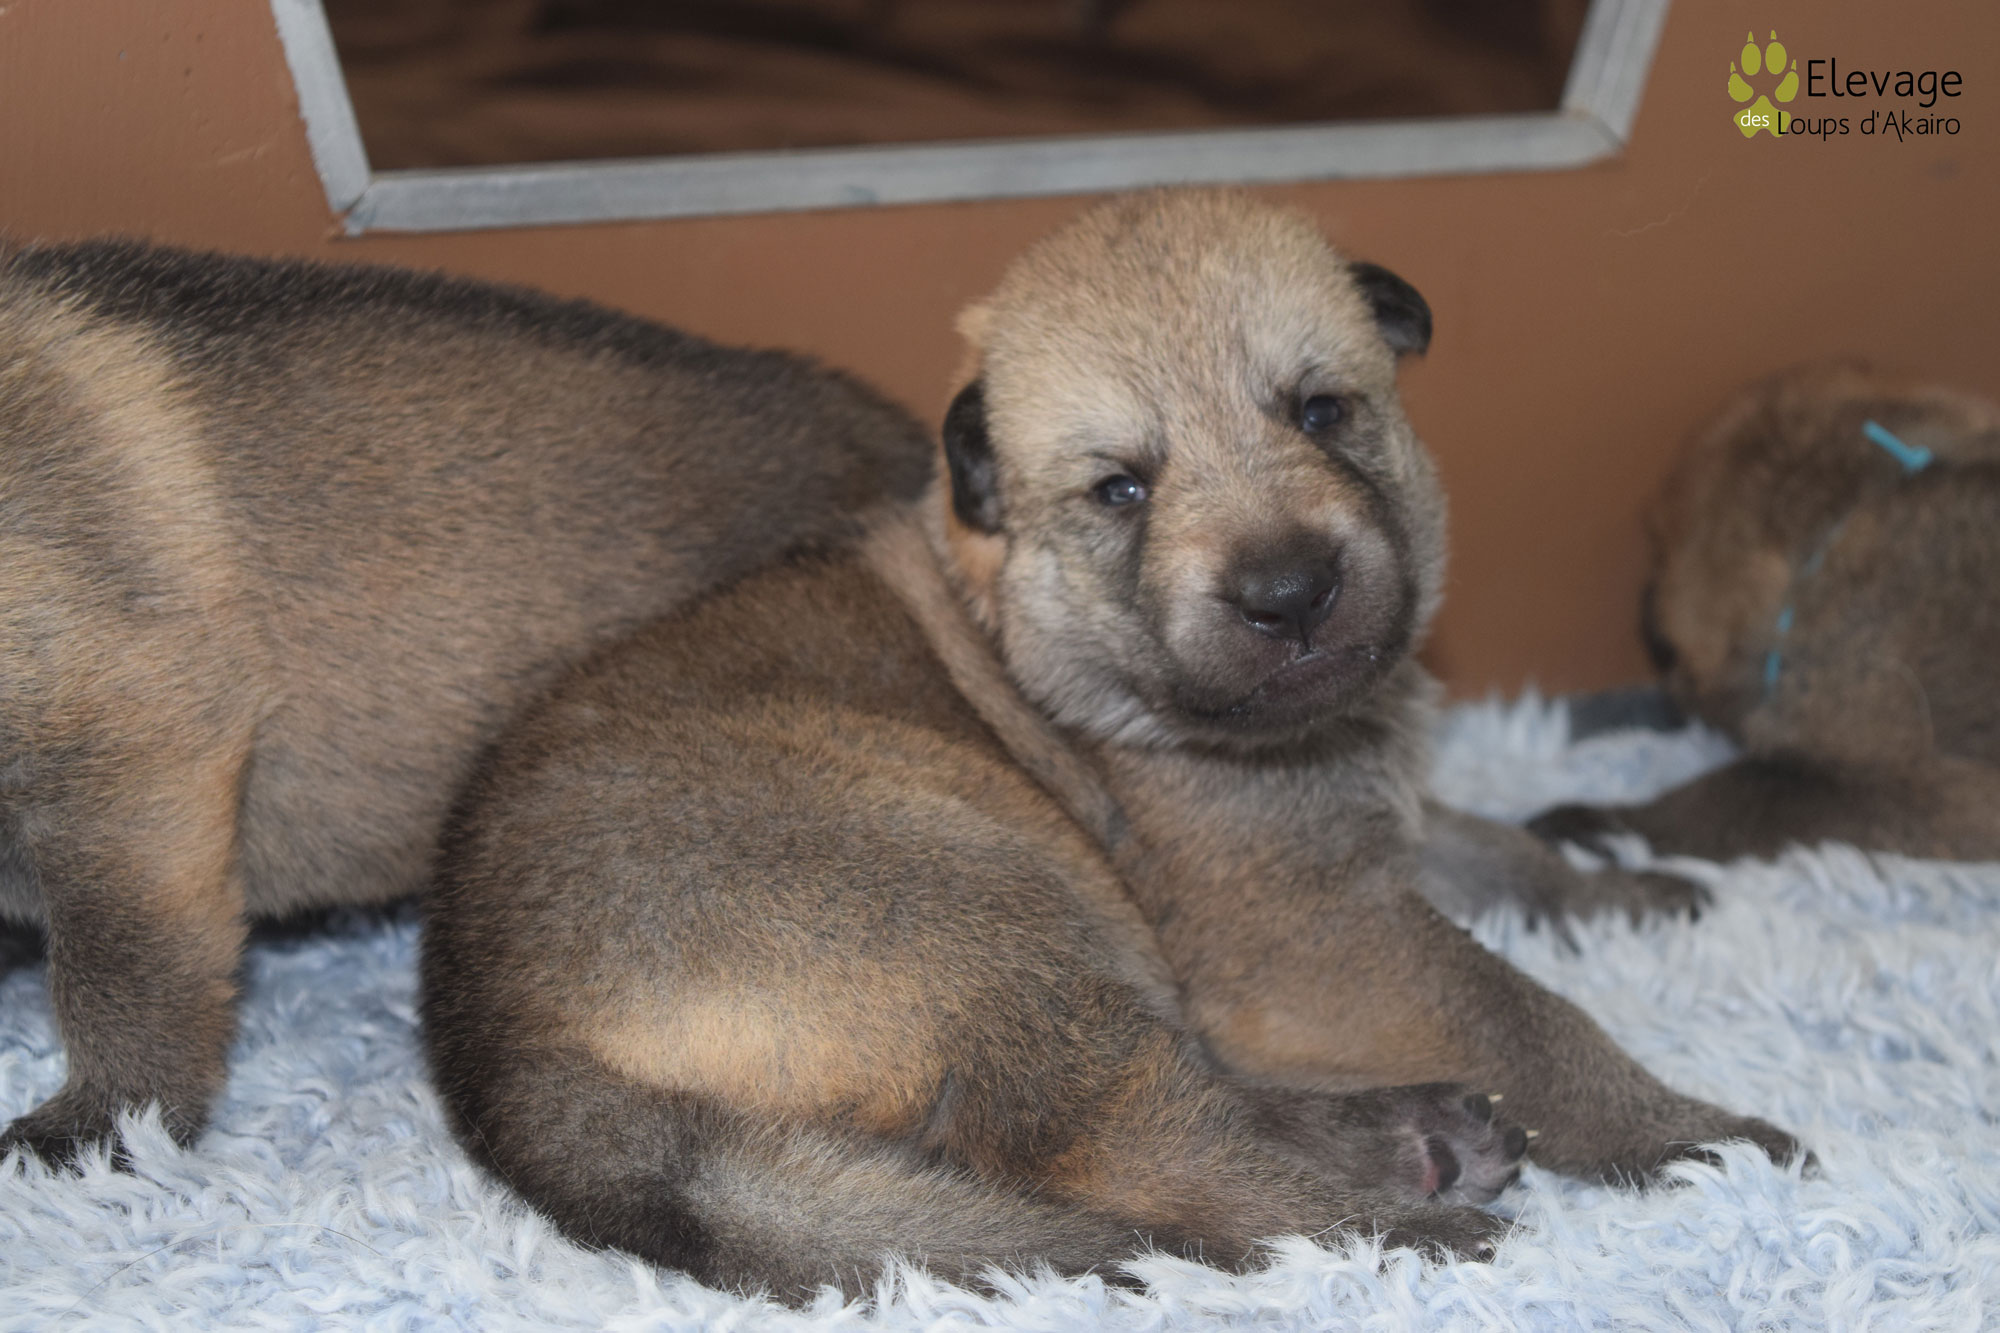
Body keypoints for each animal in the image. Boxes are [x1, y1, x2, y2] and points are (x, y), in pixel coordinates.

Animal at [422, 191, 1798, 1299]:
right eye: (1120, 489)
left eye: (1322, 411)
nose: (1289, 593)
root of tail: (499, 1042)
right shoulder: (1309, 932)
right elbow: (1521, 1014)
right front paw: (1690, 1130)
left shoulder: (1358, 844)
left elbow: (1503, 853)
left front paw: (1628, 888)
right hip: (981, 902)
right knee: (1150, 1149)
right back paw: (1394, 1222)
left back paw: (1413, 1140)